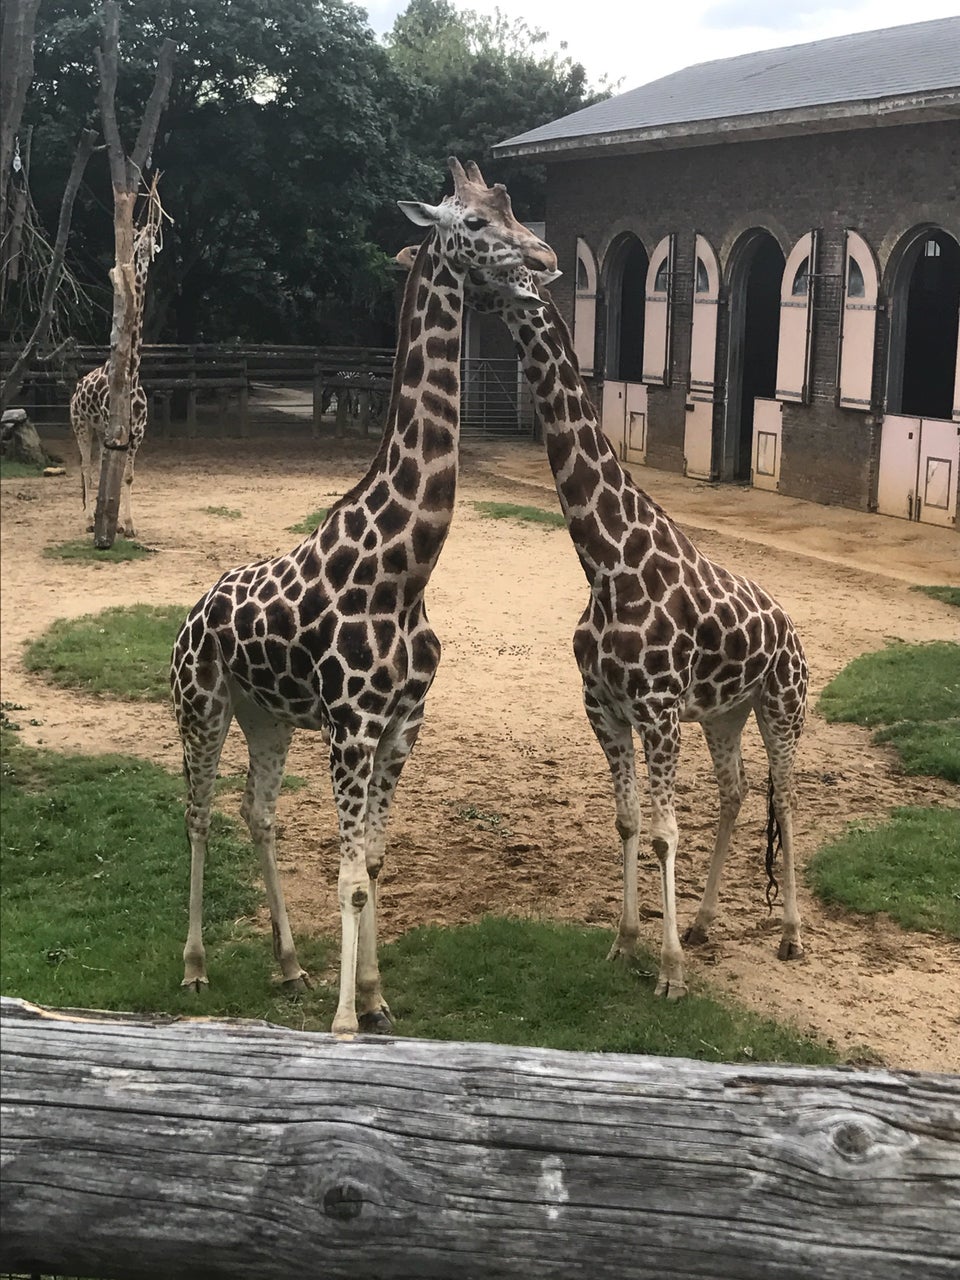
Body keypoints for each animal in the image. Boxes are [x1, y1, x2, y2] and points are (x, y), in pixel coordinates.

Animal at [70, 180, 163, 535]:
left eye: (151, 237)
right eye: (137, 238)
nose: (150, 228)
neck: (133, 373)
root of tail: (75, 389)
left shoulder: (137, 434)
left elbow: (129, 475)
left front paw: (129, 525)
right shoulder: (116, 430)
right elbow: (106, 473)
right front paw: (108, 524)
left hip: (97, 429)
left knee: (94, 466)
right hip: (80, 423)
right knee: (85, 465)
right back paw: (85, 519)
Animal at [168, 157, 552, 1039]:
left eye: (514, 211)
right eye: (474, 225)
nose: (546, 260)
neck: (405, 569)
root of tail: (192, 612)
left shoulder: (405, 724)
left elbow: (372, 860)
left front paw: (374, 996)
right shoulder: (352, 726)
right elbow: (345, 874)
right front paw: (346, 1024)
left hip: (267, 716)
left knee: (258, 812)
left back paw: (287, 963)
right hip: (200, 705)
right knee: (199, 813)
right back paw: (195, 967)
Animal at [399, 199, 814, 998]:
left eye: (503, 253)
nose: (535, 266)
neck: (606, 558)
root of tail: (791, 630)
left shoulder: (657, 708)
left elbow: (663, 830)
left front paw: (671, 972)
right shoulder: (604, 706)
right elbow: (627, 823)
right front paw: (626, 943)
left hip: (783, 703)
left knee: (784, 791)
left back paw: (790, 936)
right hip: (726, 710)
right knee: (737, 791)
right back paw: (708, 922)